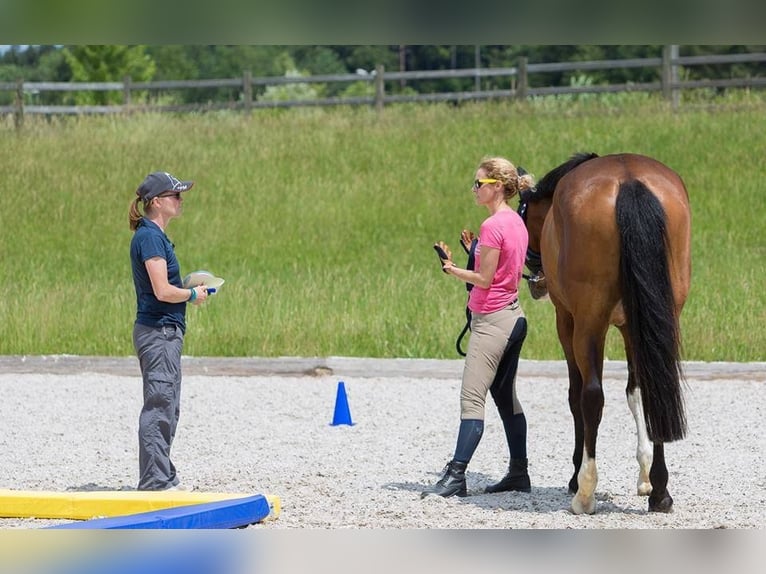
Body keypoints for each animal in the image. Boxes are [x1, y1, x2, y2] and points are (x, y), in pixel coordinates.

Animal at [520, 153, 696, 516]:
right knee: (658, 388)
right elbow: (637, 391)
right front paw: (646, 477)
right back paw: (661, 492)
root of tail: (628, 180)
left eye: (526, 217)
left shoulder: (567, 321)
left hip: (588, 323)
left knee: (590, 396)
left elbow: (576, 395)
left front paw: (576, 477)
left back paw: (585, 492)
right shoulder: (633, 326)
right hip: (661, 316)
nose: (536, 281)